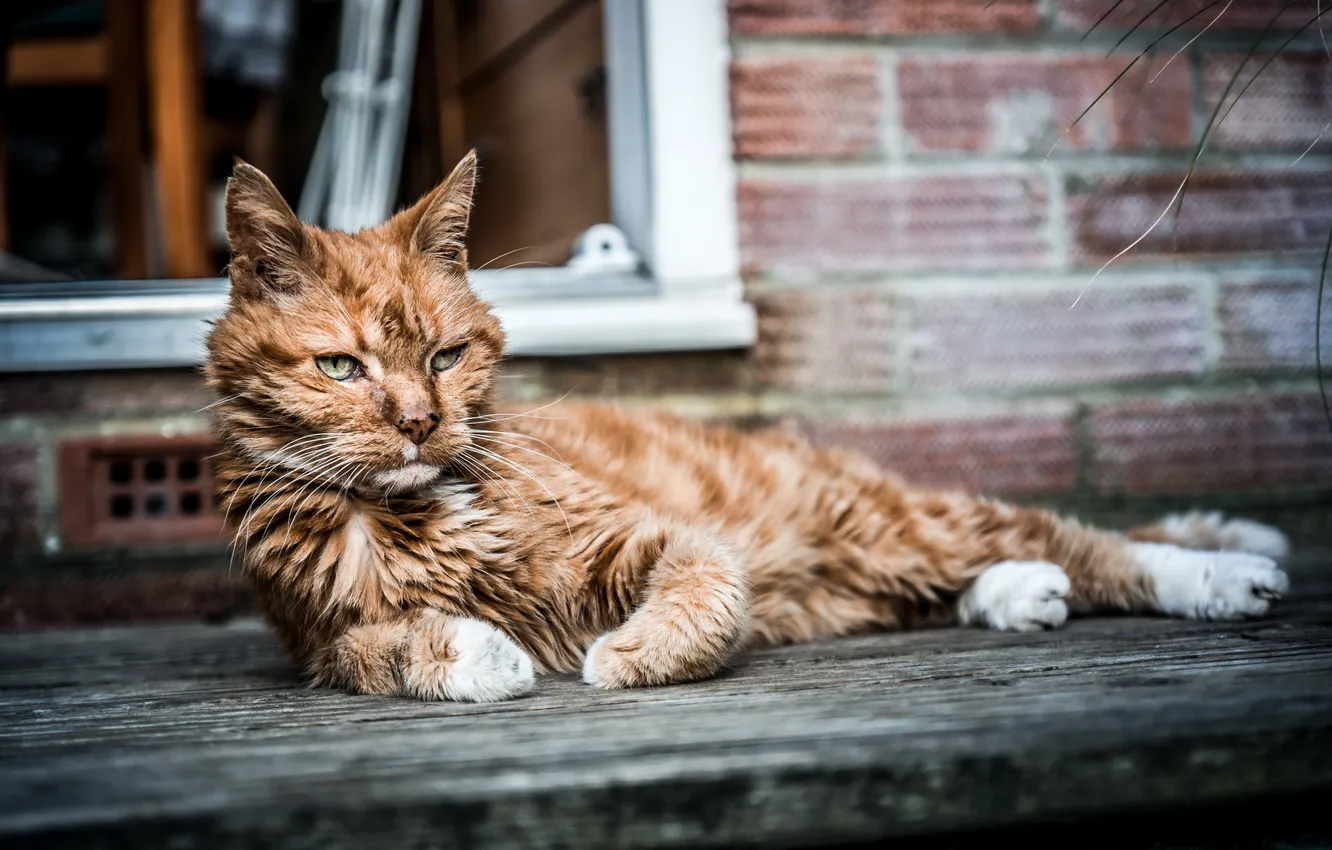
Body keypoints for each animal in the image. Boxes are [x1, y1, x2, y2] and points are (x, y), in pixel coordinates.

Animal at [207, 154, 1289, 703]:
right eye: (342, 367)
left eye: (444, 356)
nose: (422, 422)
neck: (421, 517)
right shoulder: (315, 638)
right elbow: (376, 654)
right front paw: (480, 653)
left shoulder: (658, 538)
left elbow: (707, 591)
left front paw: (626, 653)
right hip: (854, 576)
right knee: (973, 574)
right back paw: (1018, 593)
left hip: (888, 522)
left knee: (1080, 537)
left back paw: (1220, 570)